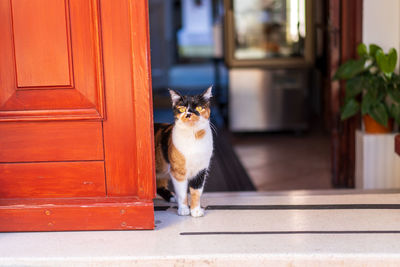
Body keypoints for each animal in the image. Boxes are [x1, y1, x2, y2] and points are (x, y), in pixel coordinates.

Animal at [155, 87, 214, 218]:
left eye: (199, 108)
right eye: (182, 109)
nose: (188, 114)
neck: (193, 138)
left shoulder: (201, 170)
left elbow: (196, 191)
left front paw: (196, 210)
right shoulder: (178, 171)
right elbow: (182, 192)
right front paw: (183, 209)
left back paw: (171, 197)